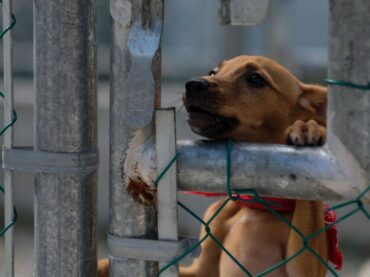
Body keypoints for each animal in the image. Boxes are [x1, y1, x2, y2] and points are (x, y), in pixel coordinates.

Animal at [181, 55, 328, 274]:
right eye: (213, 72)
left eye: (256, 79)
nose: (192, 84)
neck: (257, 207)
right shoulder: (201, 269)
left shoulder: (305, 265)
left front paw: (309, 127)